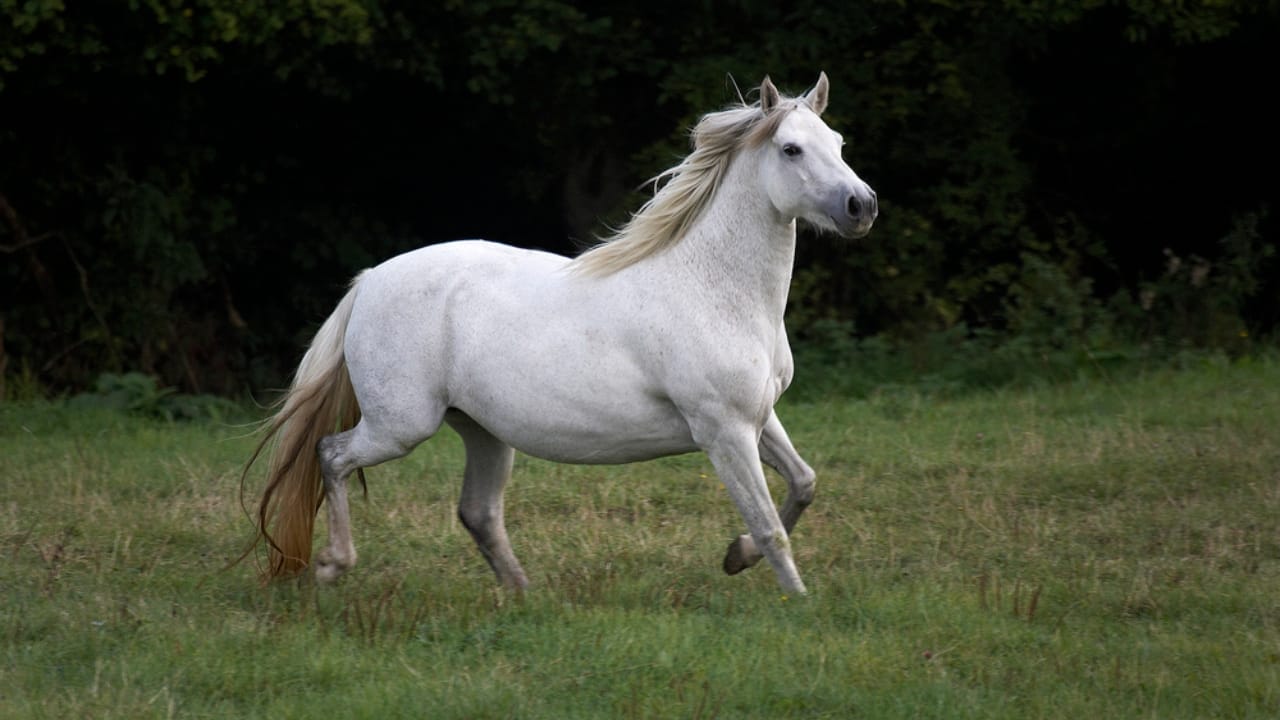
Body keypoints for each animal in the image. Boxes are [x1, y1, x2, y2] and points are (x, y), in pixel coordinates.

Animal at [241, 73, 877, 596]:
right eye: (791, 148)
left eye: (839, 142)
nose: (861, 205)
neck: (712, 288)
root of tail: (370, 280)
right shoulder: (724, 430)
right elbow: (769, 525)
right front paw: (797, 602)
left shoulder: (758, 418)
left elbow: (804, 483)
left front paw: (735, 558)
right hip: (401, 425)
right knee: (332, 456)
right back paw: (334, 566)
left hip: (481, 431)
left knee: (478, 512)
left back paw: (525, 596)